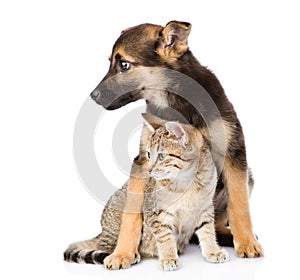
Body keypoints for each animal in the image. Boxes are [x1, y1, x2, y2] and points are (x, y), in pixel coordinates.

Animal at [63, 113, 227, 270]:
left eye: (161, 156)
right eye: (148, 154)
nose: (148, 170)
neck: (188, 182)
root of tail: (102, 232)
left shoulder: (205, 208)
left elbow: (207, 231)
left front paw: (213, 251)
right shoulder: (156, 212)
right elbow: (165, 237)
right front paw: (169, 257)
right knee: (106, 245)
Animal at [89, 20, 262, 270]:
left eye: (124, 65)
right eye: (111, 62)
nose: (93, 96)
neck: (175, 99)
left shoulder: (233, 151)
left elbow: (239, 205)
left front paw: (247, 242)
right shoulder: (143, 160)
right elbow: (132, 214)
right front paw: (123, 253)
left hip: (247, 177)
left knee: (218, 217)